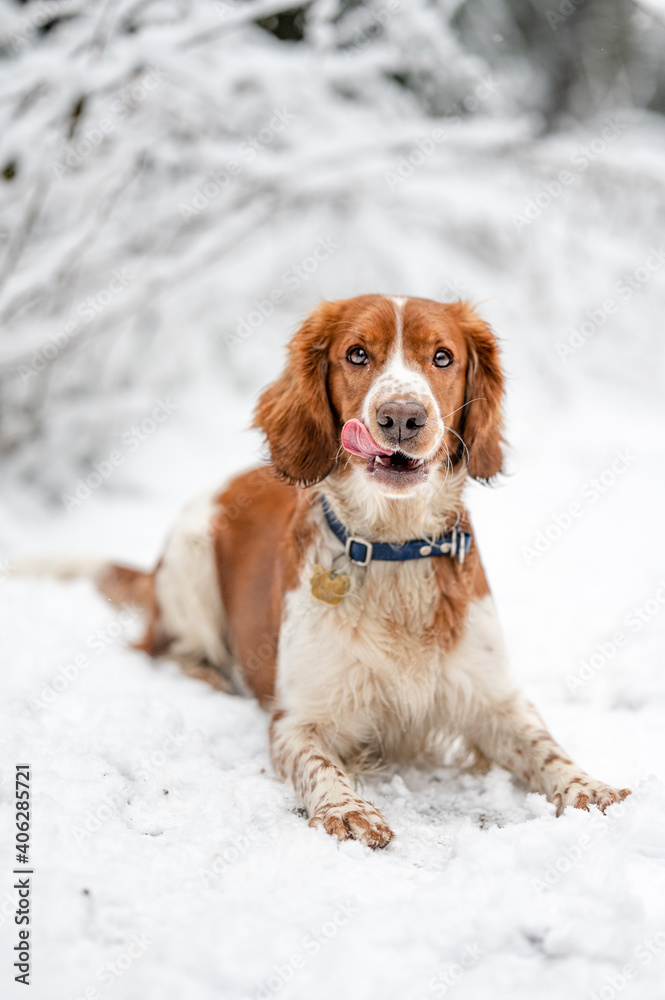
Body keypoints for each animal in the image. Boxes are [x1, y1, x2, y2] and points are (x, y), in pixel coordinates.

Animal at [53, 294, 632, 844]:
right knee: (165, 649)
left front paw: (590, 788)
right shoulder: (296, 718)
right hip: (191, 554)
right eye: (356, 354)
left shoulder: (494, 698)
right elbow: (319, 765)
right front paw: (348, 811)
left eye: (443, 357)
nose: (402, 417)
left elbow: (546, 747)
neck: (393, 547)